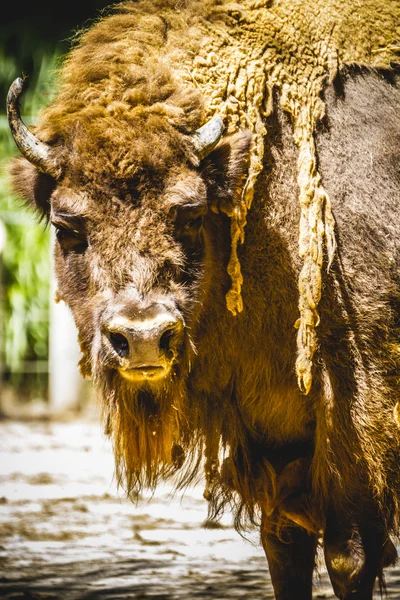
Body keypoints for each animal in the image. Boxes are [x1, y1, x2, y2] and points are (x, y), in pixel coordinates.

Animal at [5, 0, 400, 596]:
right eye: (69, 224)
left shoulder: (358, 414)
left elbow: (348, 556)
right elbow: (285, 545)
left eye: (189, 213)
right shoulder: (273, 425)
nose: (144, 337)